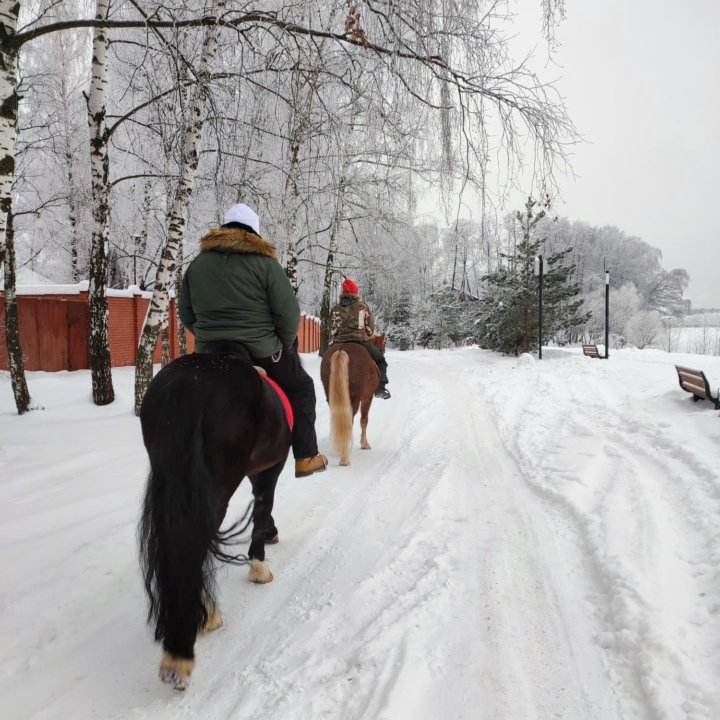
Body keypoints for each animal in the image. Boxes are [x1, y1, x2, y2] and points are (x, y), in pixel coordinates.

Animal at [138, 352, 290, 688]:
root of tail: (189, 383)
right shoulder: (269, 469)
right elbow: (262, 506)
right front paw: (259, 566)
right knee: (195, 544)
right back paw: (187, 645)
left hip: (173, 482)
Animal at [320, 334, 386, 466]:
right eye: (382, 348)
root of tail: (341, 350)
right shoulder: (367, 397)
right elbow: (364, 420)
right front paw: (364, 444)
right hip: (354, 399)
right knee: (349, 420)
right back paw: (344, 457)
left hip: (331, 397)